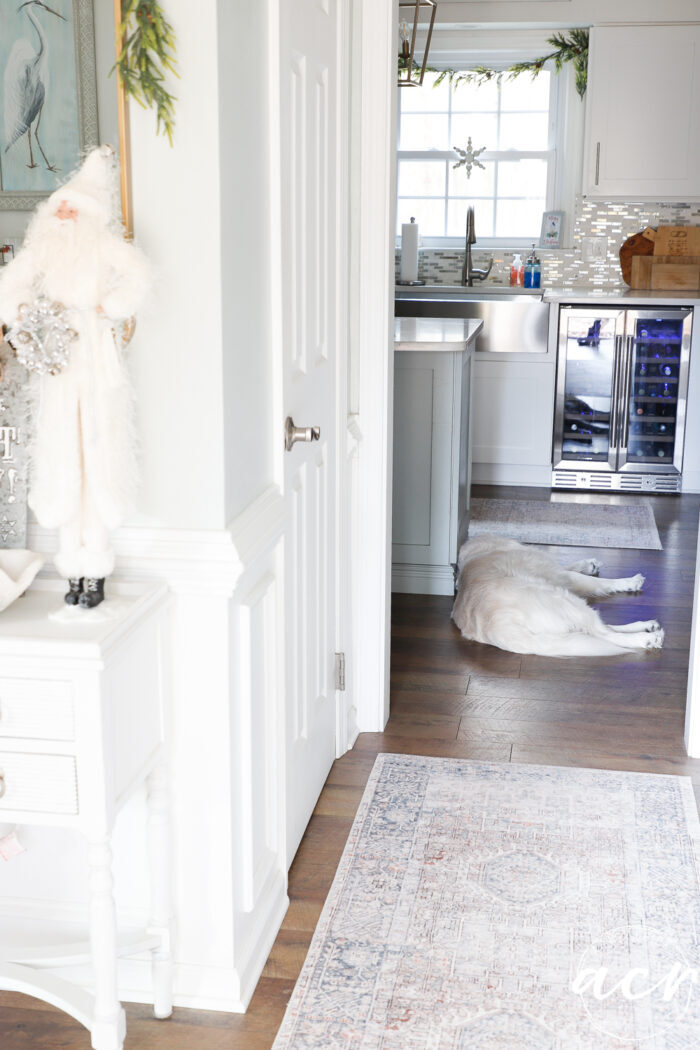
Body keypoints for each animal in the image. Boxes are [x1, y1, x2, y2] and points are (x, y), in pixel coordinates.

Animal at [451, 533, 667, 655]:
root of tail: (498, 627)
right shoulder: (561, 576)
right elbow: (596, 581)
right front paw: (629, 581)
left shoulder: (556, 572)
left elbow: (570, 567)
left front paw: (589, 565)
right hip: (564, 599)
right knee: (603, 634)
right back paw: (646, 638)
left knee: (599, 630)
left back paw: (647, 626)